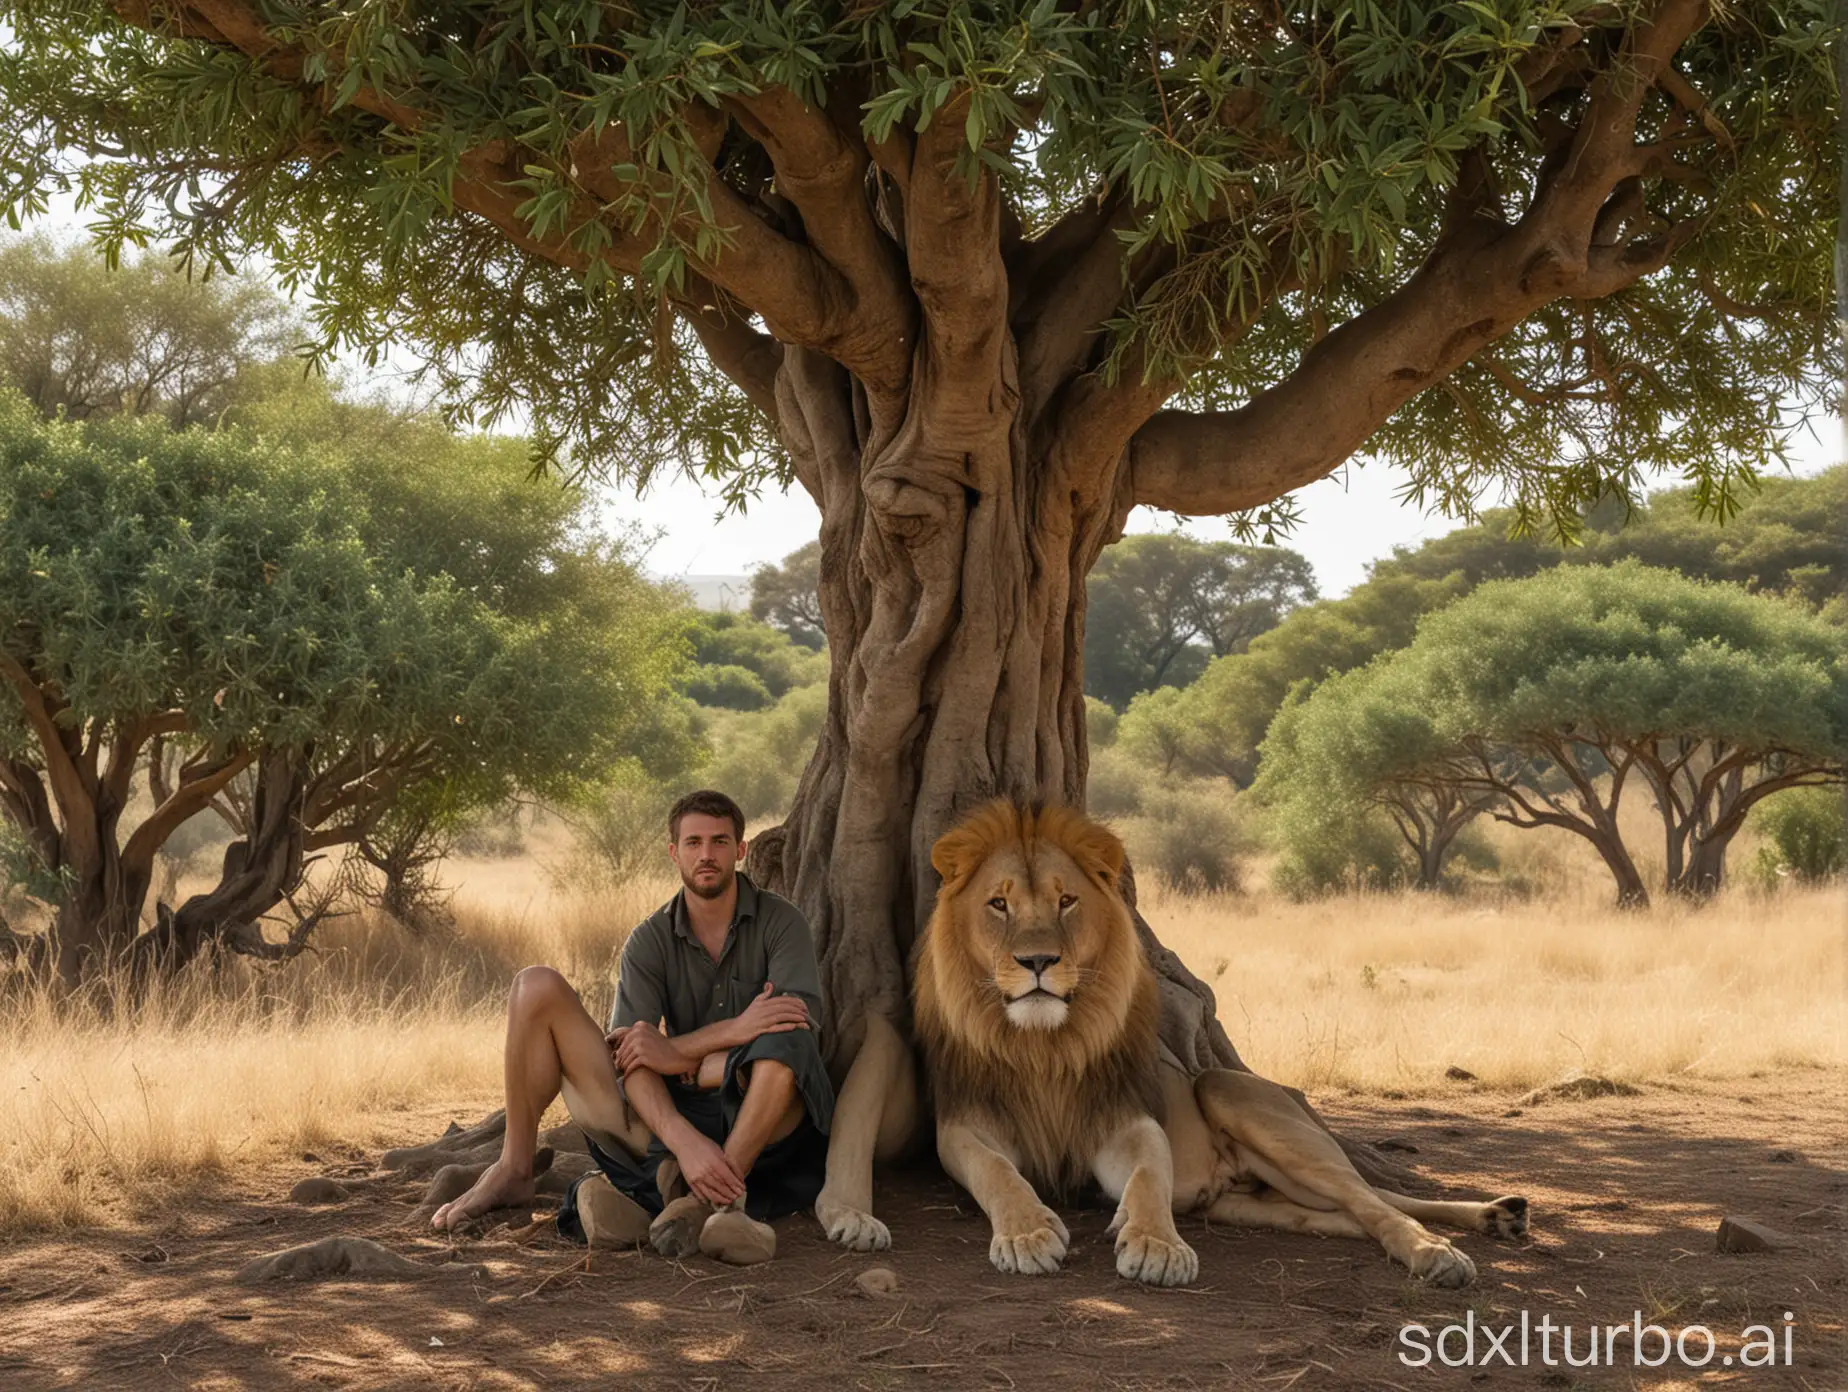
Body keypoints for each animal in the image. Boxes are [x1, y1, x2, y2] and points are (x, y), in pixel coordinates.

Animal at [816, 798, 1522, 1286]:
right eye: (998, 904)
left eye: (1067, 901)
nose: (1039, 961)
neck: (1043, 1047)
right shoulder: (966, 1124)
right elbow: (998, 1173)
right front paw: (1028, 1235)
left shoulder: (1124, 1118)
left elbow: (1151, 1171)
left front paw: (1155, 1245)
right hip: (1255, 1204)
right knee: (1346, 1214)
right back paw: (1493, 1215)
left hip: (1234, 1095)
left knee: (1373, 1201)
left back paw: (1443, 1248)